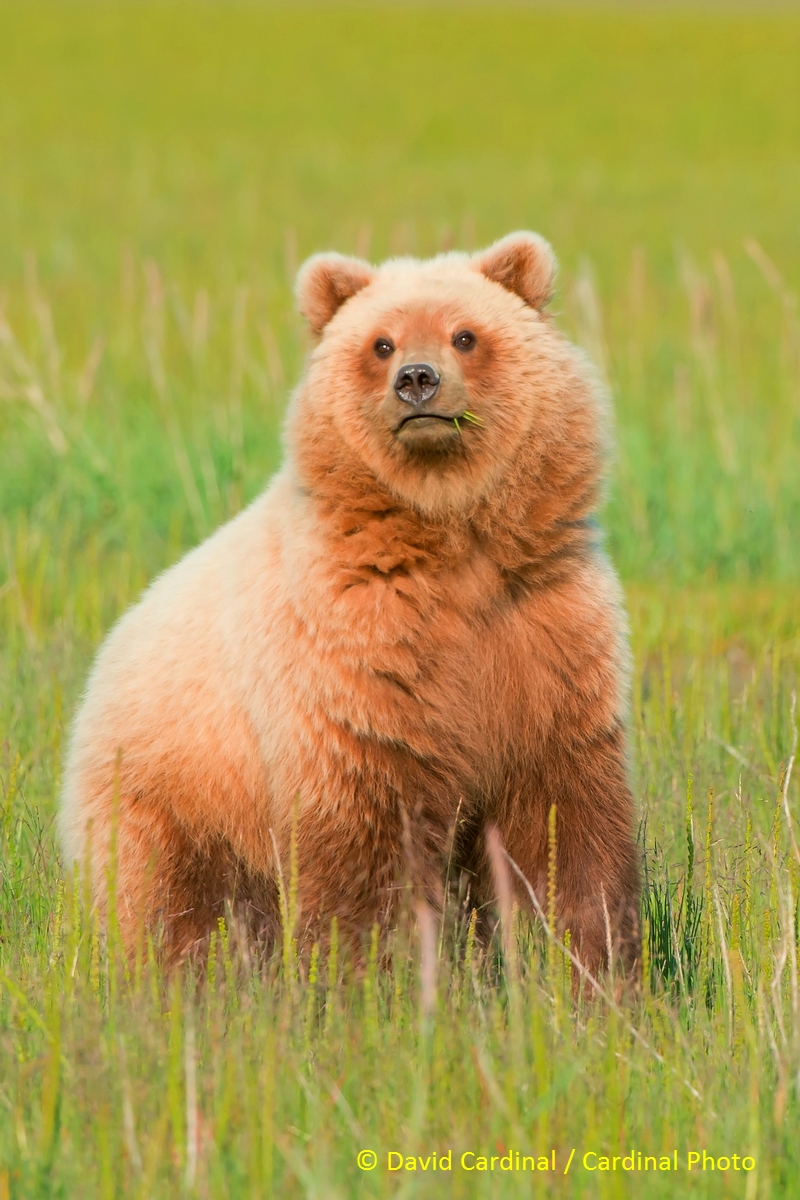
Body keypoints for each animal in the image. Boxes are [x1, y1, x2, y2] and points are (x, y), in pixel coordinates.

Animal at [59, 231, 642, 974]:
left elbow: (565, 825)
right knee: (170, 906)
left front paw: (590, 962)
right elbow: (366, 847)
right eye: (381, 343)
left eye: (465, 335)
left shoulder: (542, 635)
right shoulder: (358, 658)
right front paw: (370, 974)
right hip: (172, 791)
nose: (418, 380)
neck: (453, 542)